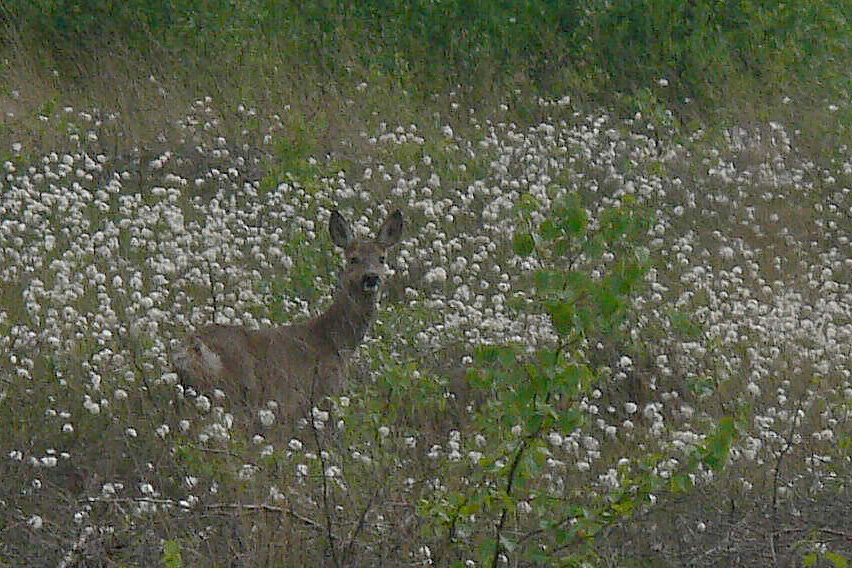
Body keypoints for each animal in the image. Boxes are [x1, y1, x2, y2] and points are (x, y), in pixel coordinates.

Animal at [171, 207, 404, 418]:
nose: (371, 277)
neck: (336, 340)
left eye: (382, 258)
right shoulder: (321, 392)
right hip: (234, 390)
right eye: (353, 259)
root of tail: (189, 349)